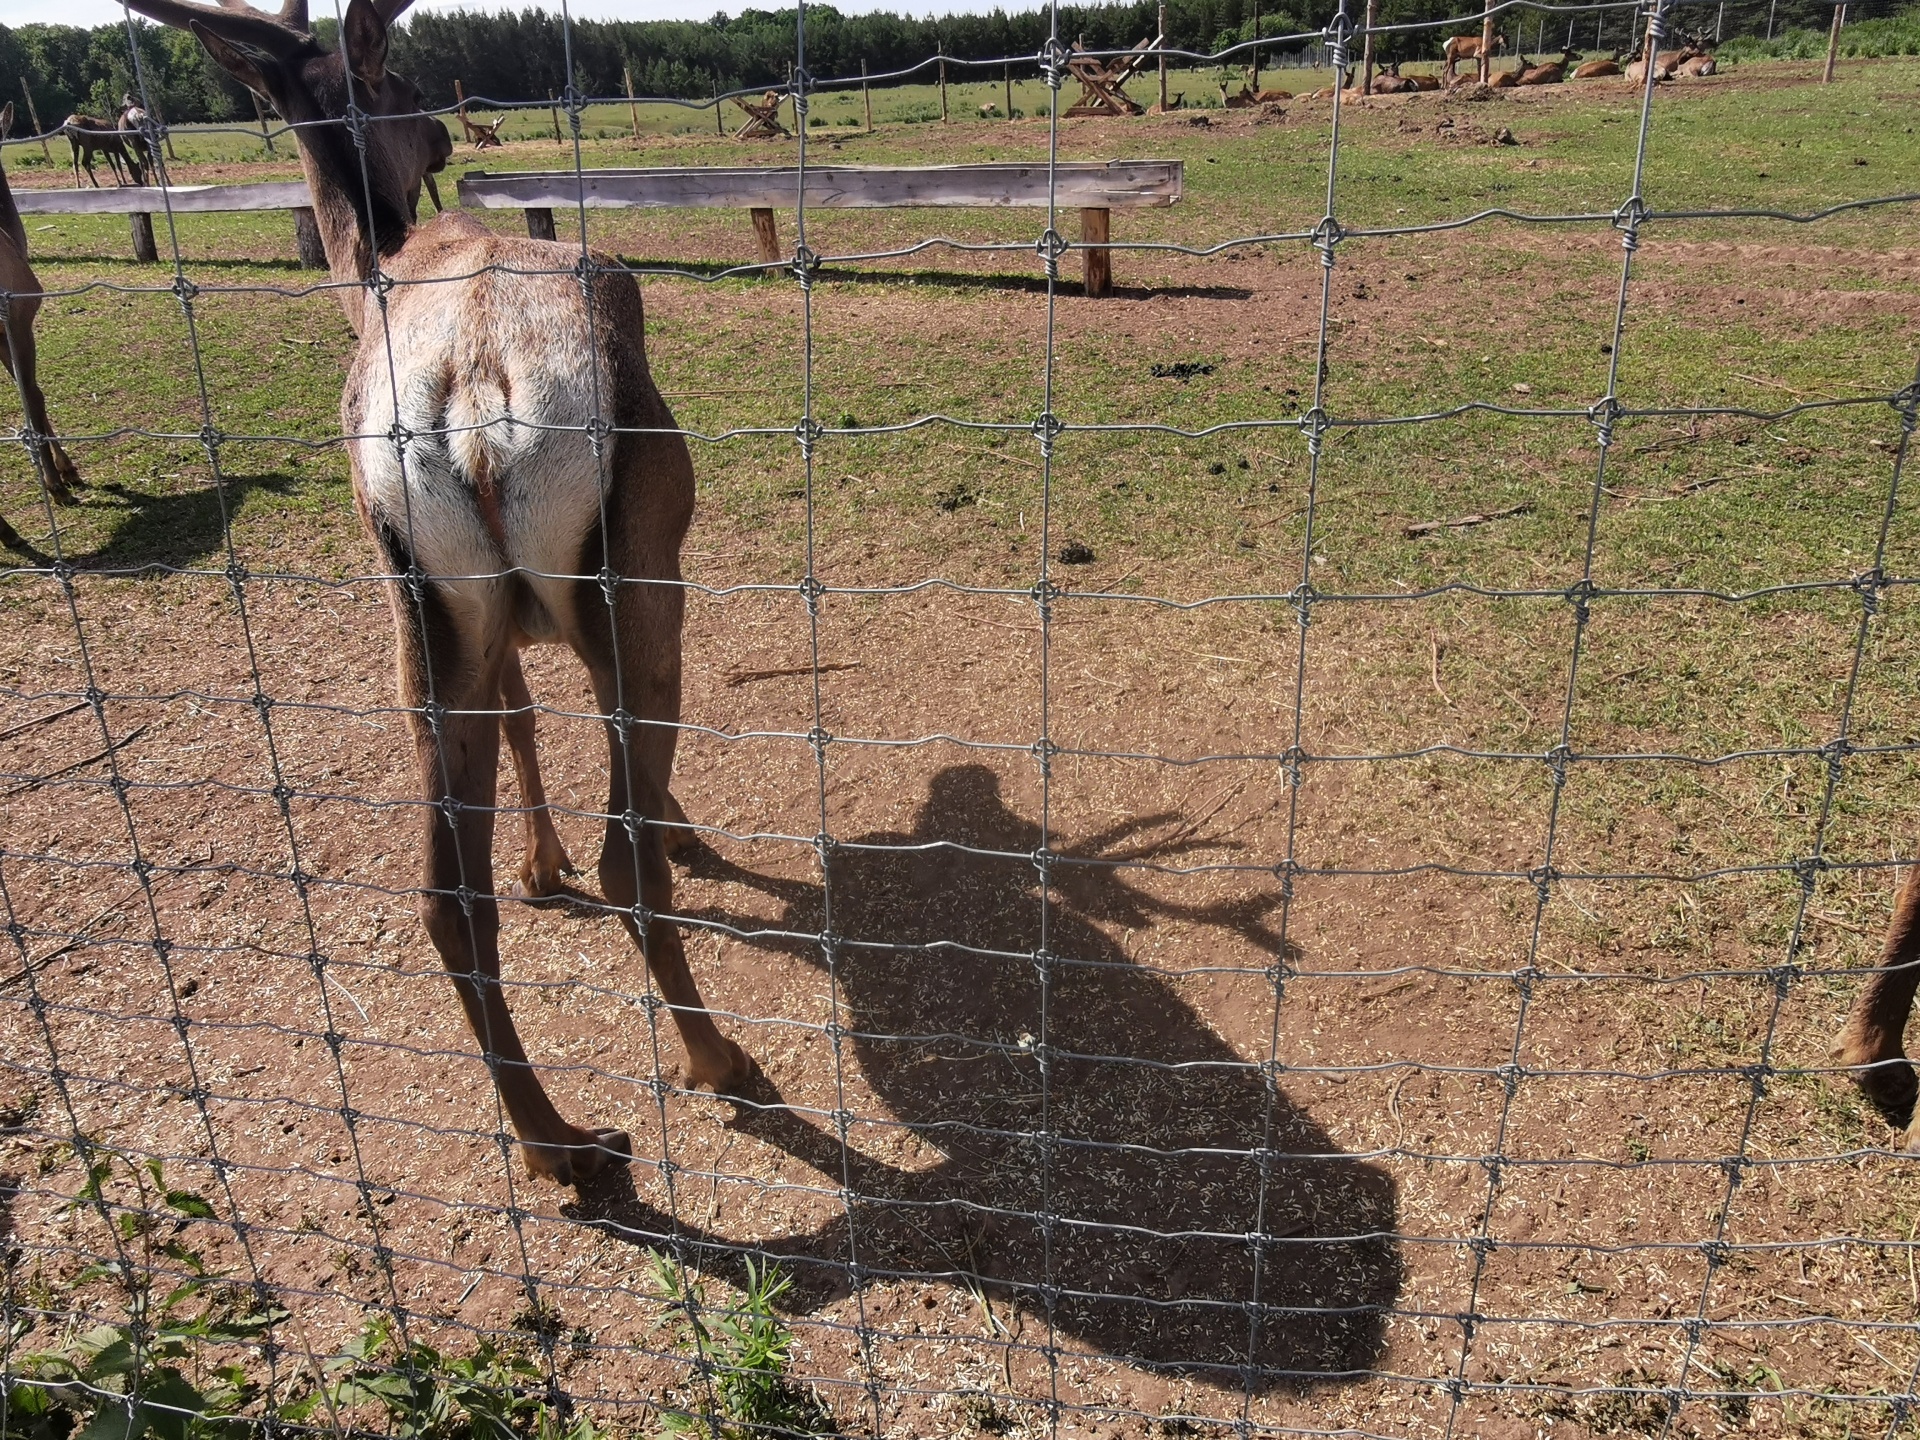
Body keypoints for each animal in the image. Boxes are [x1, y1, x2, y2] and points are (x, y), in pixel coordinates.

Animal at [121, 0, 748, 1182]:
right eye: (408, 85)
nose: (445, 137)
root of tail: (476, 385)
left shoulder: (483, 623)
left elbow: (520, 718)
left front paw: (539, 865)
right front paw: (661, 837)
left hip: (417, 595)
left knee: (447, 898)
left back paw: (557, 1144)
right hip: (642, 562)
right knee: (627, 848)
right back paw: (710, 1057)